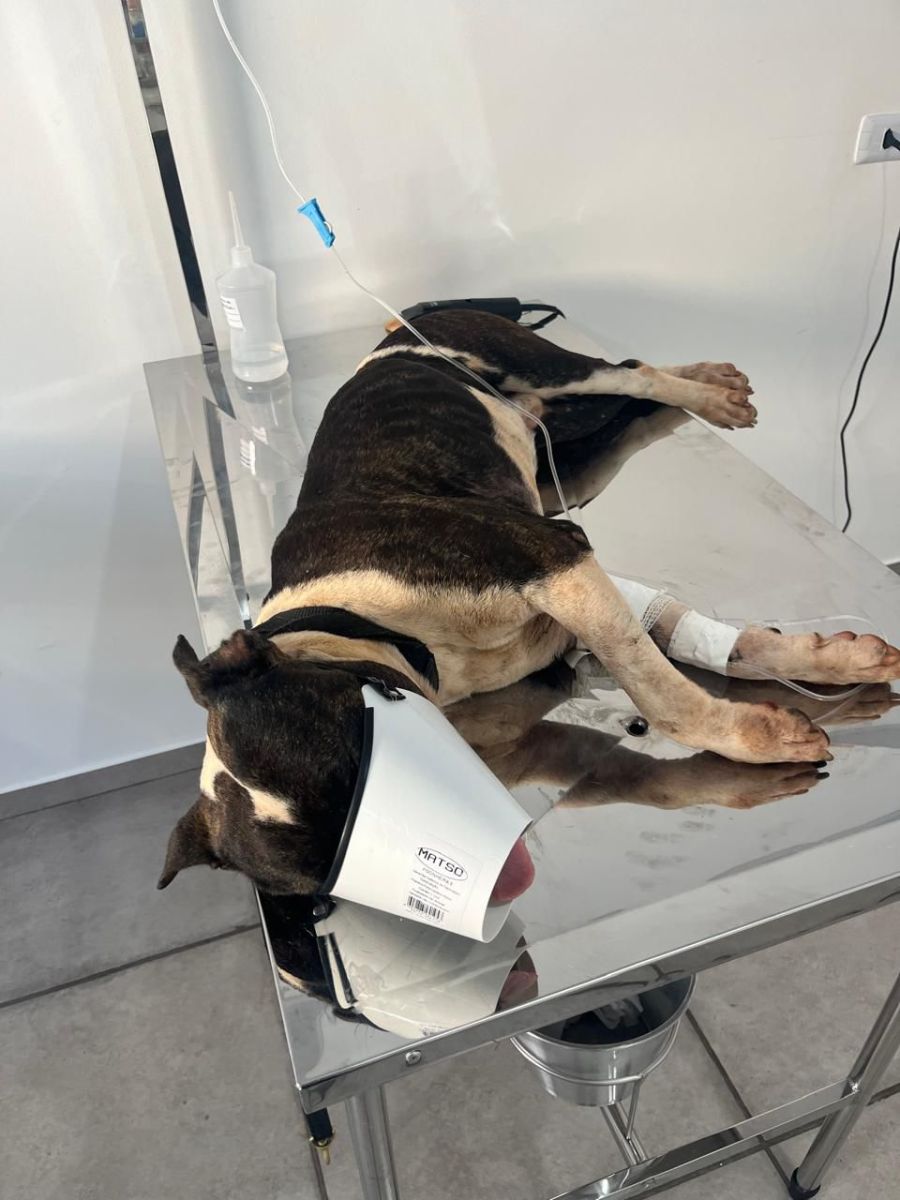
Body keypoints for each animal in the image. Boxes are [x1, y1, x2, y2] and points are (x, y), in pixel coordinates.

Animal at [159, 310, 900, 898]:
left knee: (630, 377)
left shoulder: (554, 559)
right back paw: (708, 381)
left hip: (540, 372)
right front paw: (831, 667)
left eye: (365, 759)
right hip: (563, 465)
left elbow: (664, 692)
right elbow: (671, 694)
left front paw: (762, 732)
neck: (356, 620)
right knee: (624, 401)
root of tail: (395, 334)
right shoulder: (559, 629)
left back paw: (711, 394)